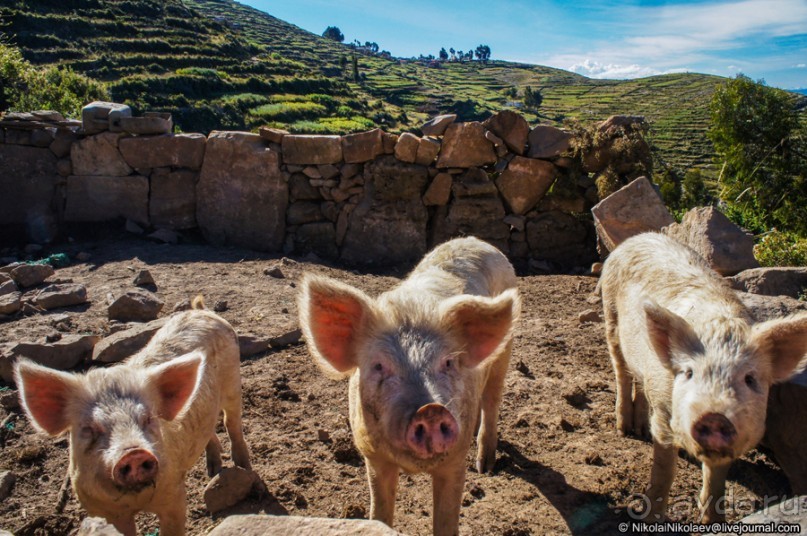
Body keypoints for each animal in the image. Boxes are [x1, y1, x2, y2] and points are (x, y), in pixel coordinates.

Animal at [14, 298, 251, 536]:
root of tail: (201, 312)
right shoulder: (105, 510)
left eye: (147, 419)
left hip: (233, 383)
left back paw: (243, 467)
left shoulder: (174, 493)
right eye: (89, 428)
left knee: (231, 422)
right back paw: (213, 471)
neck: (136, 501)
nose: (134, 453)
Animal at [300, 237, 520, 532]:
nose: (430, 410)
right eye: (379, 366)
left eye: (448, 363)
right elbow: (380, 512)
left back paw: (485, 466)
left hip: (505, 352)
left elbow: (446, 521)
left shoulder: (454, 461)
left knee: (492, 400)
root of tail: (474, 239)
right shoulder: (373, 457)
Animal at [600, 232, 807, 520]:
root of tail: (637, 238)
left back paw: (640, 428)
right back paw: (623, 429)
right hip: (610, 317)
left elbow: (717, 478)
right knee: (622, 372)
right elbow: (664, 469)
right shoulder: (664, 412)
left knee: (638, 381)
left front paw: (714, 522)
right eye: (689, 373)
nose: (715, 416)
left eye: (750, 379)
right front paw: (651, 518)